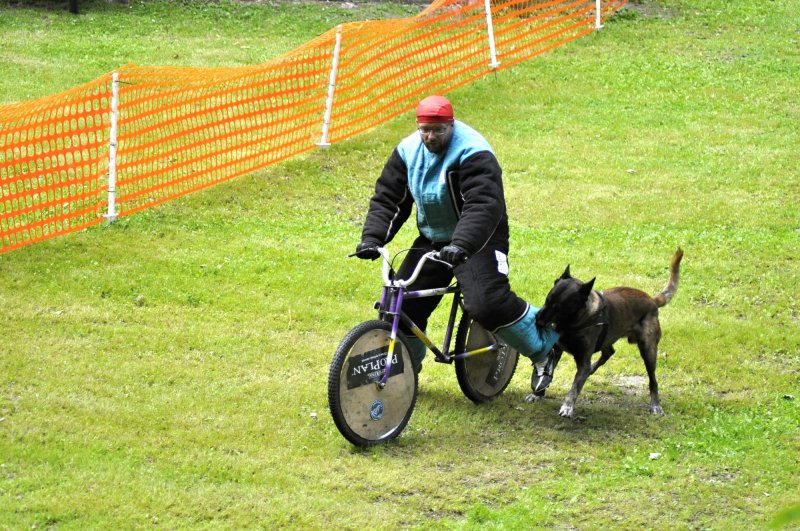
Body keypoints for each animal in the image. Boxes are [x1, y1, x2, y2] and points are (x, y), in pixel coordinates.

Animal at [532, 249, 680, 420]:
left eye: (559, 308)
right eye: (547, 300)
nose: (537, 320)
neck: (573, 322)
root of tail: (652, 300)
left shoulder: (583, 360)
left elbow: (575, 387)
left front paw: (567, 406)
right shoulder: (556, 351)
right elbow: (547, 373)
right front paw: (537, 394)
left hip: (648, 350)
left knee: (653, 380)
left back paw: (655, 405)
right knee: (609, 352)